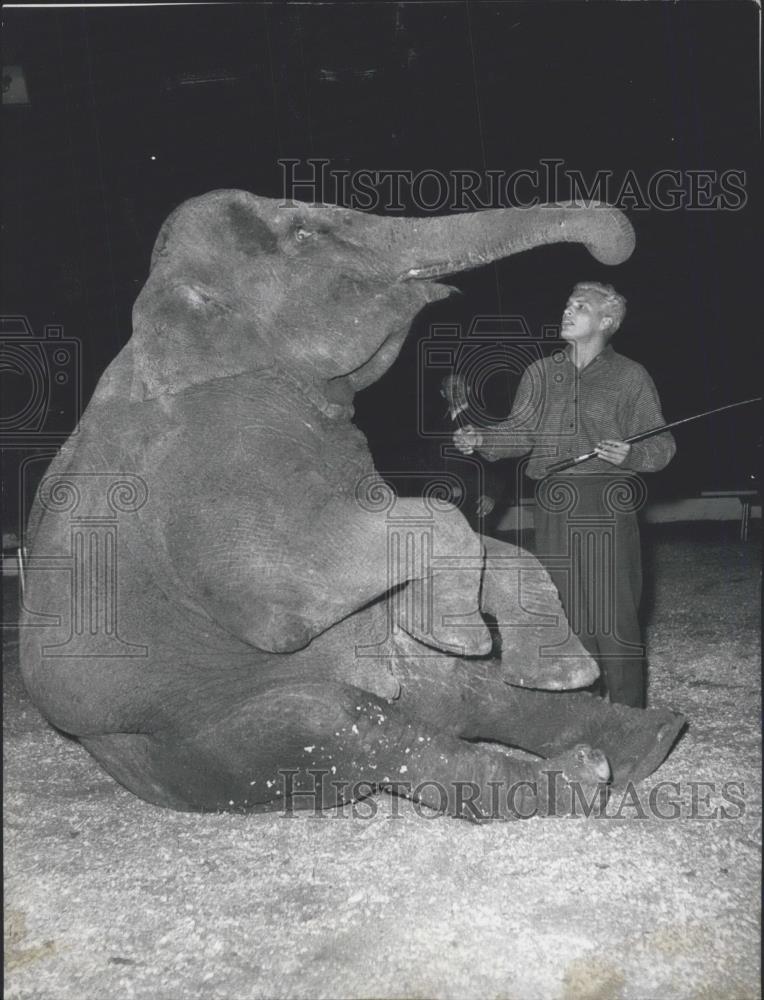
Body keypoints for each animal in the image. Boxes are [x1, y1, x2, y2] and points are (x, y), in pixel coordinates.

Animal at [20, 189, 684, 820]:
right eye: (303, 234)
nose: (610, 253)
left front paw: (448, 624)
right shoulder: (204, 472)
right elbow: (285, 597)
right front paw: (458, 628)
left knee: (466, 692)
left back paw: (649, 739)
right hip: (200, 742)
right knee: (349, 726)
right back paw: (580, 779)